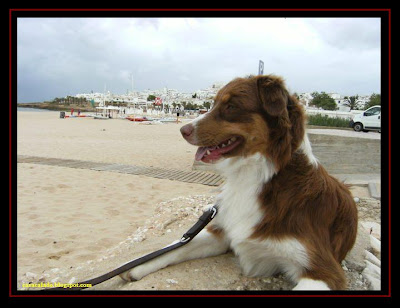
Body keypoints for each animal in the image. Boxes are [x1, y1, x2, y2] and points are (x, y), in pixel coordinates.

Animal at [120, 75, 358, 292]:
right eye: (213, 103)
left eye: (231, 106)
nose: (182, 130)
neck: (256, 176)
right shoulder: (222, 232)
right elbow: (176, 247)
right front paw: (134, 265)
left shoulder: (324, 270)